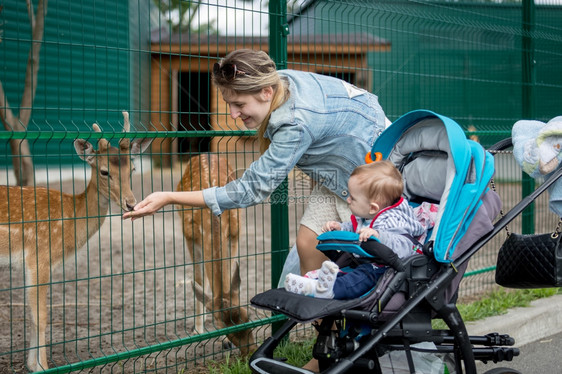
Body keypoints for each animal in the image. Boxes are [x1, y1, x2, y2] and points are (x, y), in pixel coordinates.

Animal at [0, 111, 151, 372]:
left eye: (132, 168)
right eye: (104, 171)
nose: (131, 204)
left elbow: (32, 314)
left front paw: (32, 364)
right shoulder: (39, 257)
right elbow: (40, 316)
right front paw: (42, 366)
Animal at [176, 153, 255, 356]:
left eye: (248, 314)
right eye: (221, 326)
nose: (250, 351)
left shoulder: (235, 232)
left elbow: (228, 272)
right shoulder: (190, 236)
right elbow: (199, 280)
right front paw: (199, 331)